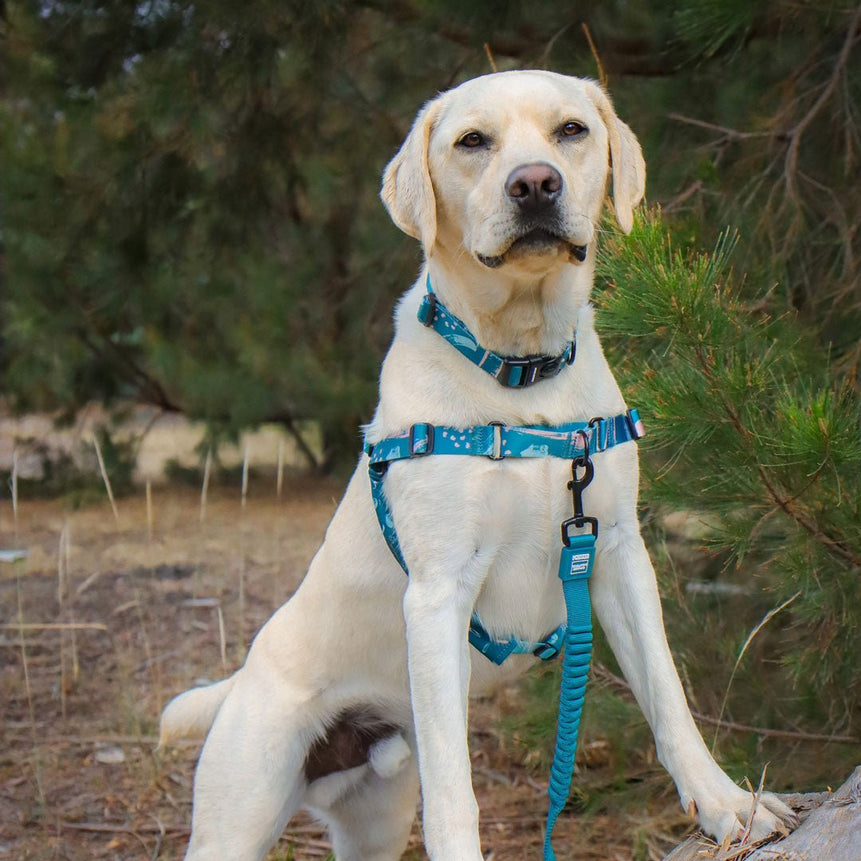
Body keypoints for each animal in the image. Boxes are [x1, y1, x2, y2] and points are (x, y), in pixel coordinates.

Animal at [160, 72, 792, 860]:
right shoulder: (438, 595)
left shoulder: (616, 553)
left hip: (375, 819)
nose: (535, 184)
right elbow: (455, 789)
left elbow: (669, 699)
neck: (521, 370)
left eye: (571, 130)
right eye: (472, 142)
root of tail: (241, 678)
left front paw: (726, 803)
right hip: (241, 806)